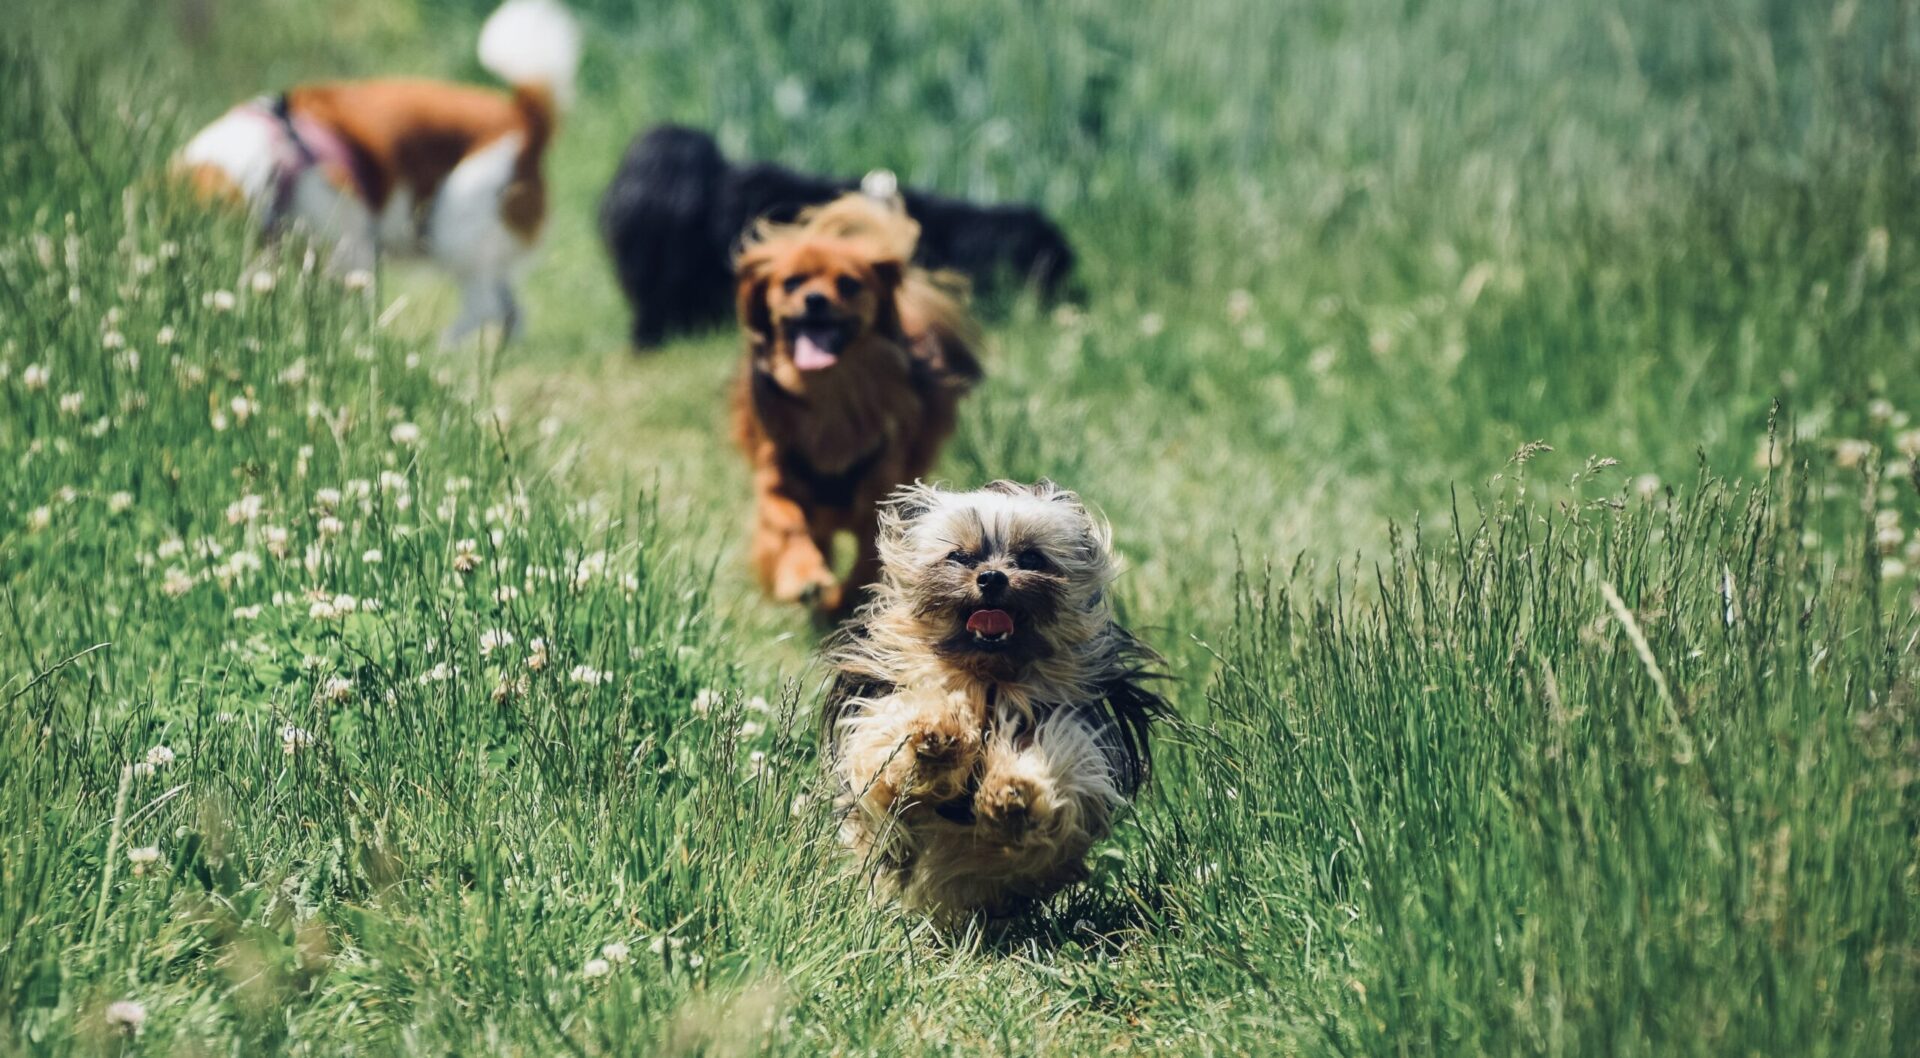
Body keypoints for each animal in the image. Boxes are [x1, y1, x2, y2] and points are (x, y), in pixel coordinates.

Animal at [172, 0, 576, 343]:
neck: (274, 159)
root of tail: (525, 117)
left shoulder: (350, 248)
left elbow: (354, 306)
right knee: (511, 313)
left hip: (454, 226)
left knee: (484, 305)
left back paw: (437, 351)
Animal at [725, 194, 983, 618]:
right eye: (791, 282)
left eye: (848, 284)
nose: (814, 299)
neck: (830, 391)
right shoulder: (777, 481)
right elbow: (789, 525)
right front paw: (802, 576)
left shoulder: (881, 497)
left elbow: (870, 557)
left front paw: (846, 600)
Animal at [817, 481, 1159, 917]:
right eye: (960, 556)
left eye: (1031, 557)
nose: (992, 577)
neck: (990, 679)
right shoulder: (883, 716)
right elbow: (888, 741)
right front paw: (934, 736)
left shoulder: (1067, 727)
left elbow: (1059, 758)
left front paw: (1015, 794)